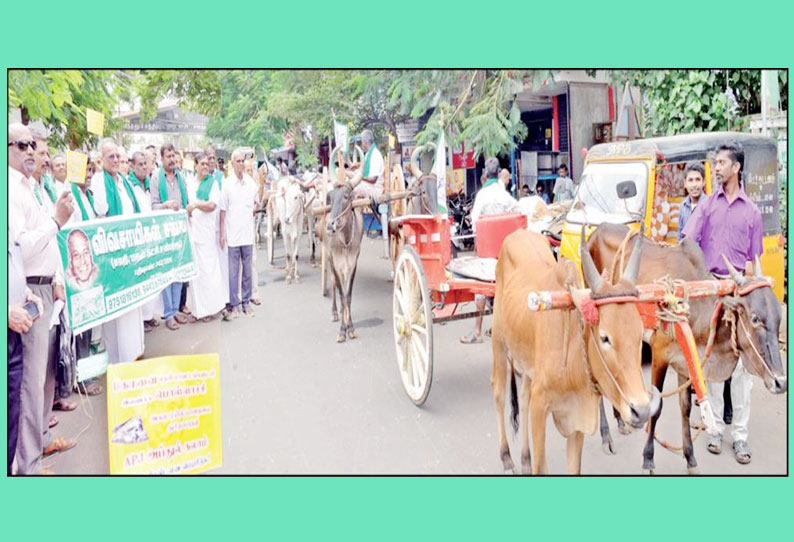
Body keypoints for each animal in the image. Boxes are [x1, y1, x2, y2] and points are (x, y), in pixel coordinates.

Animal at [488, 227, 656, 474]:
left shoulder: (576, 422)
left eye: (639, 333)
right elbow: (541, 467)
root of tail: (518, 232)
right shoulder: (541, 407)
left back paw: (525, 458)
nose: (641, 411)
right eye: (605, 337)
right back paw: (506, 456)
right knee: (499, 393)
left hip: (527, 361)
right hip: (499, 340)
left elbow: (573, 468)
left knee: (524, 396)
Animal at [584, 223, 784, 474]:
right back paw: (606, 437)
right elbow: (657, 408)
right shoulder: (660, 354)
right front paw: (648, 459)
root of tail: (597, 229)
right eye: (755, 318)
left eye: (779, 317)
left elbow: (686, 408)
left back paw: (620, 420)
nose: (781, 382)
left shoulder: (684, 364)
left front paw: (690, 459)